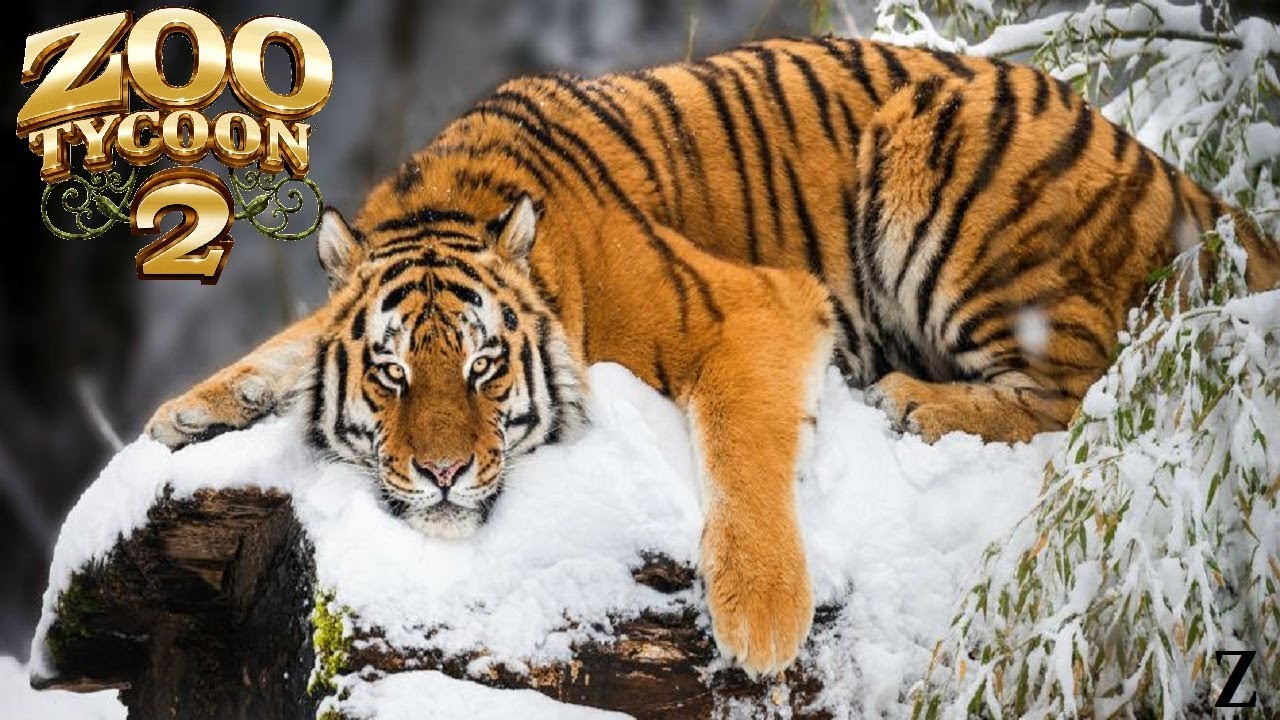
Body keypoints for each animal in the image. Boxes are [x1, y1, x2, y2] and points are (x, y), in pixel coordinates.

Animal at [144, 36, 1280, 676]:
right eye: (389, 374)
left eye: (483, 368)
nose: (442, 473)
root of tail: (1169, 171)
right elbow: (291, 342)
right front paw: (188, 411)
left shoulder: (749, 308)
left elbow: (738, 448)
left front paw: (762, 617)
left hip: (944, 168)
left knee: (1090, 386)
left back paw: (919, 402)